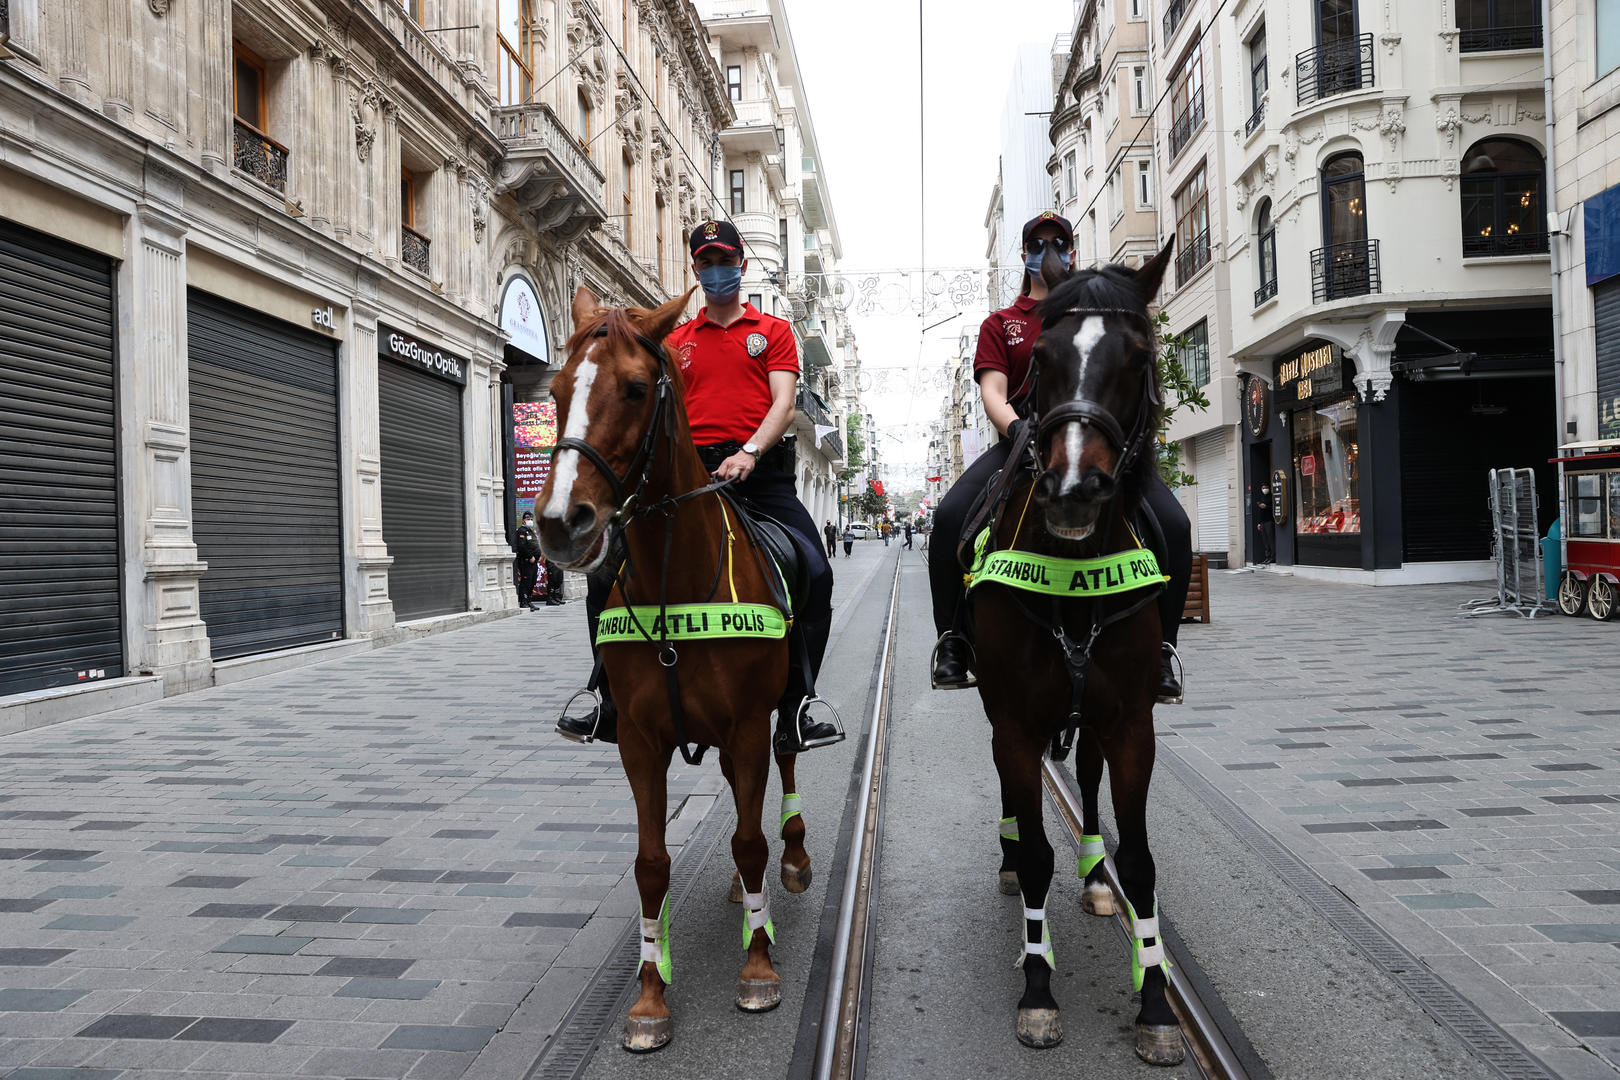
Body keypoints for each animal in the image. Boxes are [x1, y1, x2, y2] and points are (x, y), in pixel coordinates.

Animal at [537, 286, 816, 1055]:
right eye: (555, 391)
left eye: (636, 389)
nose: (558, 523)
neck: (676, 578)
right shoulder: (639, 739)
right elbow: (650, 863)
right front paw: (649, 995)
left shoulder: (747, 725)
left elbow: (749, 839)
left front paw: (758, 965)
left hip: (776, 712)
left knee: (785, 759)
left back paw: (792, 862)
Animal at [965, 242, 1185, 1062]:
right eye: (1042, 359)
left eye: (1139, 357)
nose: (1070, 486)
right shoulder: (1017, 719)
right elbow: (1035, 853)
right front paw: (1037, 990)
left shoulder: (1132, 724)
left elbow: (1141, 861)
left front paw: (1154, 1000)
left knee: (1085, 775)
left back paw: (1093, 874)